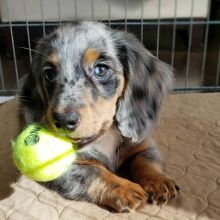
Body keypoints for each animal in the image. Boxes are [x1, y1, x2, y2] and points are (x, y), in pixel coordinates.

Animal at [19, 21, 180, 212]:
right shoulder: (63, 167)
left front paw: (159, 181)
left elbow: (146, 161)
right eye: (49, 74)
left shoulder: (142, 144)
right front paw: (124, 187)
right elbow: (95, 171)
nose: (63, 121)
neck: (106, 136)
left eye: (101, 69)